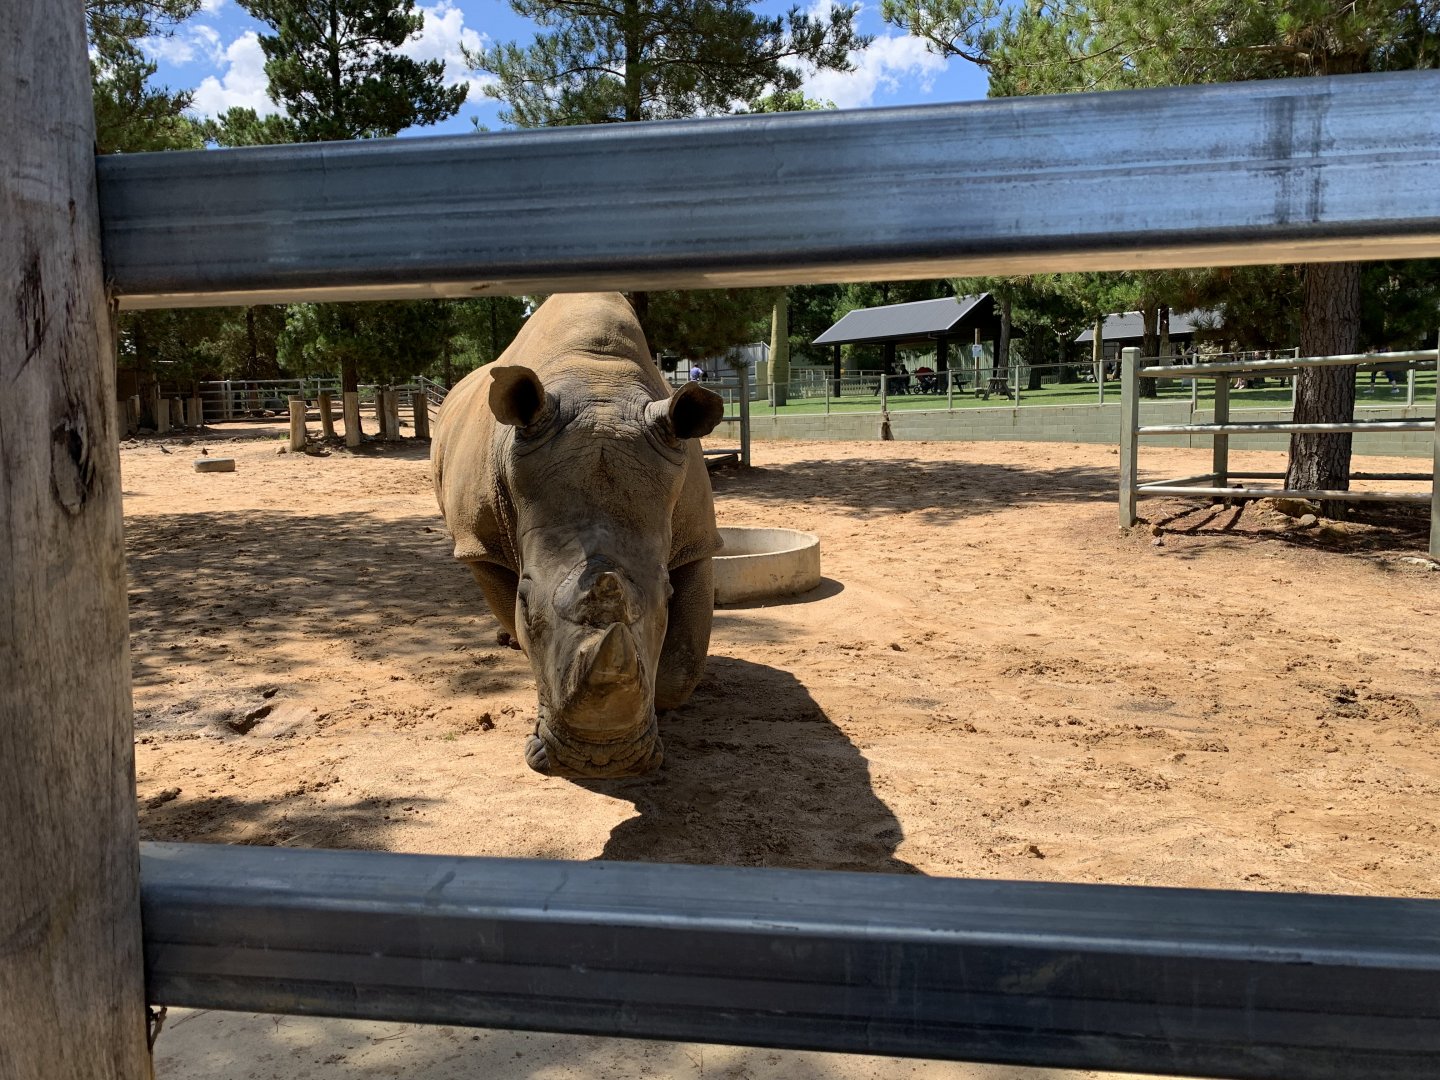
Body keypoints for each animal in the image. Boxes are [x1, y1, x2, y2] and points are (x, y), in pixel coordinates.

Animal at [431, 293, 726, 778]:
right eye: (526, 599)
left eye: (667, 594)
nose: (599, 762)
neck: (596, 382)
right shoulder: (480, 544)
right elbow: (511, 611)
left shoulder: (695, 539)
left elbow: (683, 663)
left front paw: (657, 707)